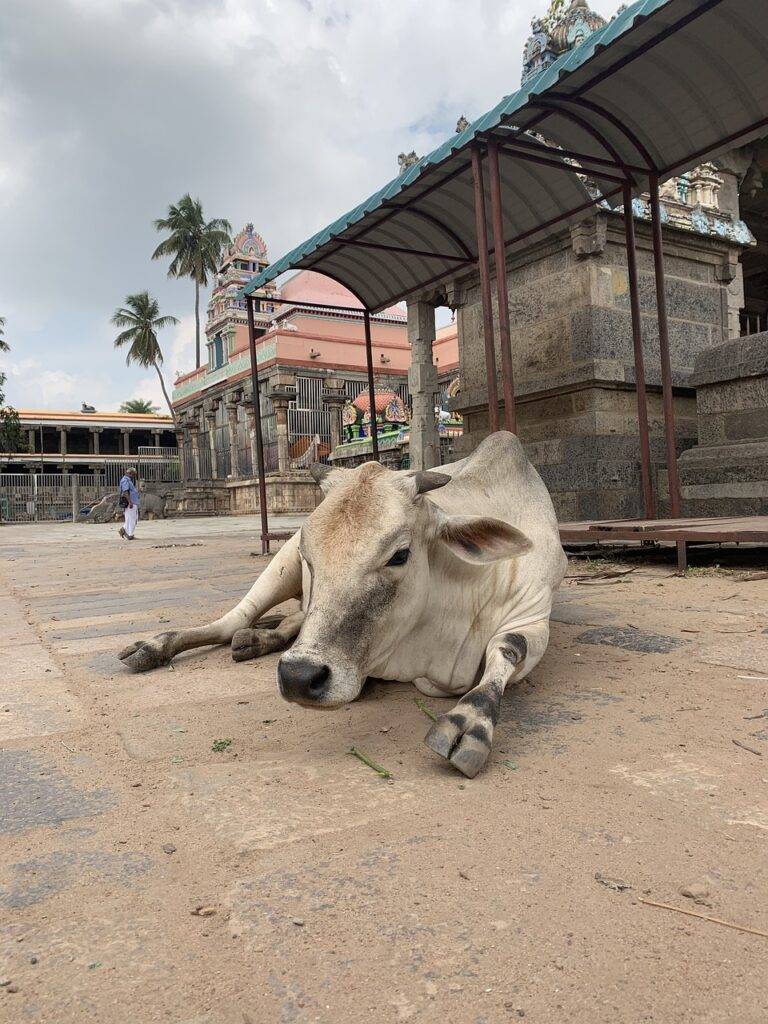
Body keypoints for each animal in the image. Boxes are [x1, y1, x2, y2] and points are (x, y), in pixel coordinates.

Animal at [118, 432, 565, 774]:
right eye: (309, 553)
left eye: (400, 554)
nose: (298, 677)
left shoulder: (532, 616)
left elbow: (507, 647)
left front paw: (470, 723)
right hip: (278, 568)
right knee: (233, 620)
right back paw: (157, 646)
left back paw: (258, 638)